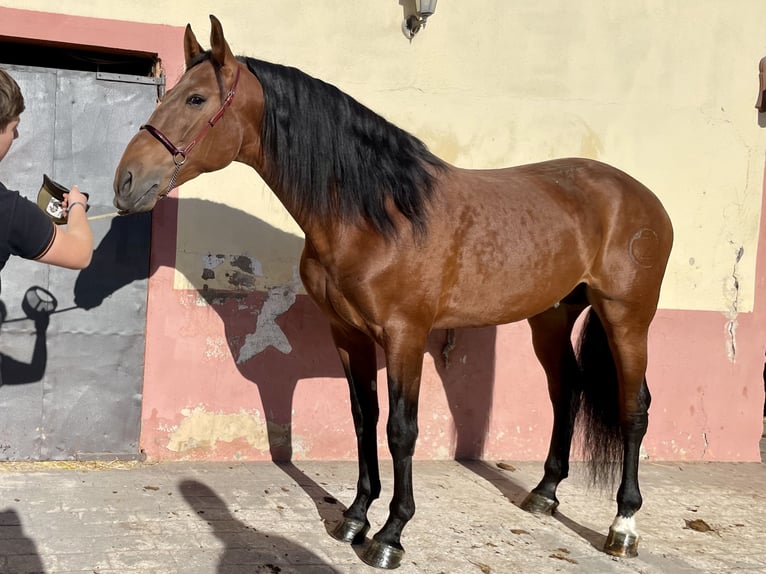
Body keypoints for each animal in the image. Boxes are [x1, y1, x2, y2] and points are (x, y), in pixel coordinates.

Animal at [112, 16, 672, 572]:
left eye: (196, 99)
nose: (125, 181)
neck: (377, 214)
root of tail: (642, 197)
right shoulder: (348, 334)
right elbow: (364, 419)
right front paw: (355, 517)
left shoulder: (406, 336)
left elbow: (402, 429)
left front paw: (390, 535)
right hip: (551, 318)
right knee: (567, 391)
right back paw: (545, 493)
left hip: (627, 318)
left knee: (634, 406)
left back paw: (623, 526)